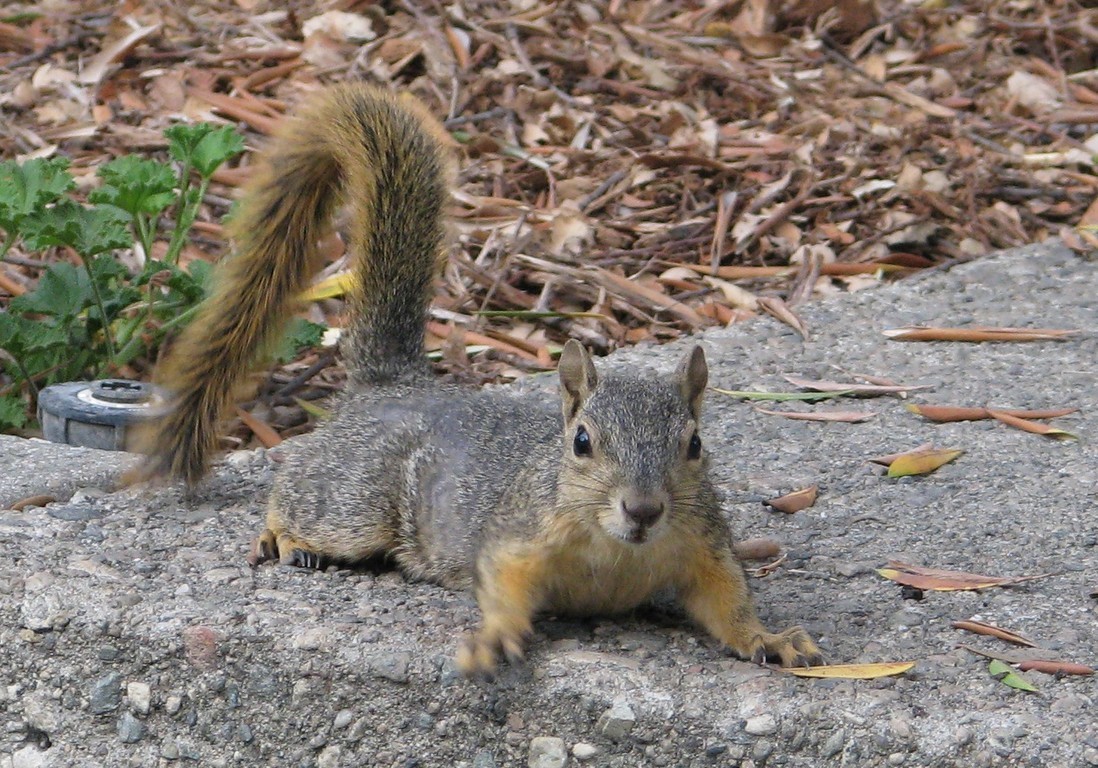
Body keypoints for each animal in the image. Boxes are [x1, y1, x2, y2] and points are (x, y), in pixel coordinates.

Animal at [128, 81, 821, 676]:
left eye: (695, 445)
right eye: (582, 442)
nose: (644, 509)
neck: (620, 549)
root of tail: (392, 383)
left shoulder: (704, 546)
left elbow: (727, 601)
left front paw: (771, 638)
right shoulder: (516, 536)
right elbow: (503, 583)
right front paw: (494, 637)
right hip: (354, 501)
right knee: (297, 483)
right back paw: (282, 534)